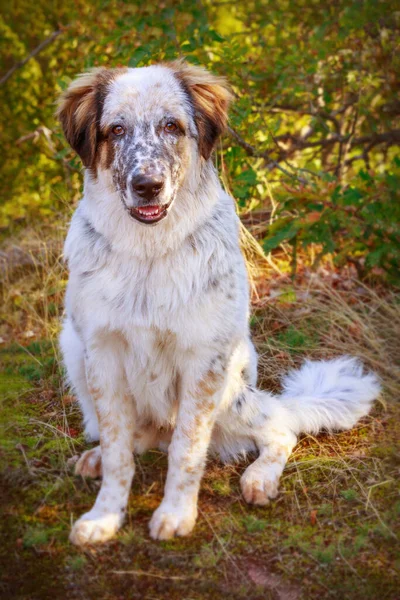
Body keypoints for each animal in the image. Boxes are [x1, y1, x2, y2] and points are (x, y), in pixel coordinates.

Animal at [57, 59, 380, 544]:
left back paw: (260, 478)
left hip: (232, 387)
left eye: (171, 125)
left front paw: (176, 513)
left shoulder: (202, 362)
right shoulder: (102, 354)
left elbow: (188, 450)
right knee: (134, 439)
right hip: (73, 348)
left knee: (280, 428)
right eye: (115, 130)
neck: (149, 253)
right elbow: (117, 451)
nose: (147, 185)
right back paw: (98, 457)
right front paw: (105, 516)